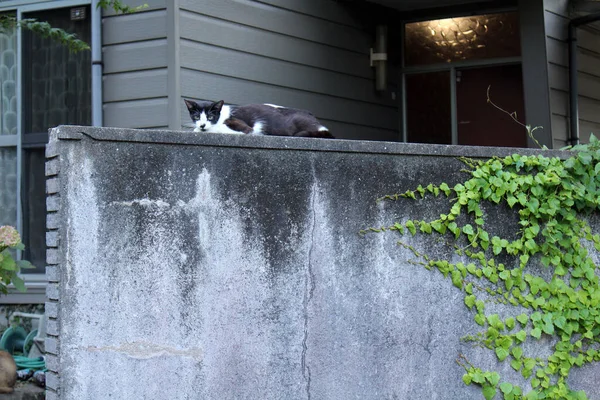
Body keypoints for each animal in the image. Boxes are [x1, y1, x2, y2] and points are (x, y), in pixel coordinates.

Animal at [183, 99, 336, 139]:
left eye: (210, 116)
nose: (202, 125)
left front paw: (199, 130)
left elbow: (219, 128)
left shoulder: (245, 128)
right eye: (196, 116)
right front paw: (197, 128)